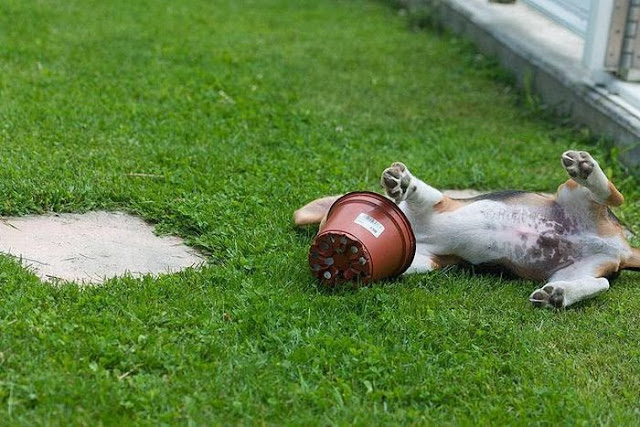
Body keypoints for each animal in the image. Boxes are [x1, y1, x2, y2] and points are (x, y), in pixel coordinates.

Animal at [296, 152, 640, 310]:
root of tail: (622, 249)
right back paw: (559, 295)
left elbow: (418, 191)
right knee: (600, 284)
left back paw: (585, 167)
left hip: (573, 194)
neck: (413, 224)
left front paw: (402, 183)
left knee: (613, 196)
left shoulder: (439, 202)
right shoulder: (424, 258)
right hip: (574, 270)